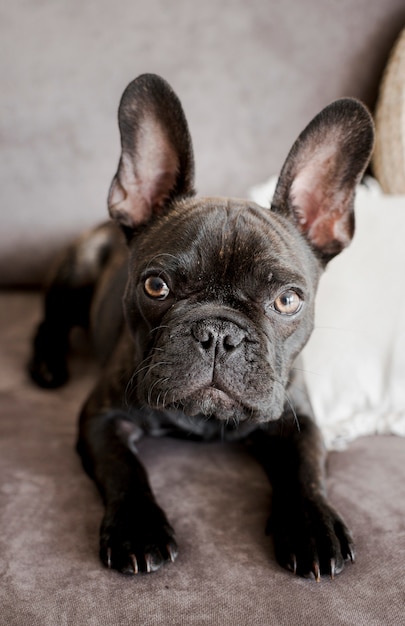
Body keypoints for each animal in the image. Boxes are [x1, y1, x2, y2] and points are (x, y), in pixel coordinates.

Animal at [30, 74, 374, 580]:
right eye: (156, 285)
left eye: (287, 300)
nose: (219, 334)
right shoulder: (102, 417)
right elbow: (124, 468)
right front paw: (138, 529)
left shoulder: (299, 418)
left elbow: (307, 468)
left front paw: (313, 525)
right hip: (78, 268)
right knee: (50, 322)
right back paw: (47, 366)